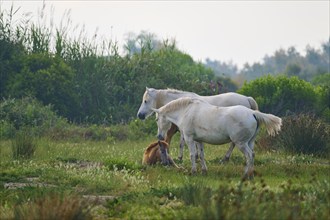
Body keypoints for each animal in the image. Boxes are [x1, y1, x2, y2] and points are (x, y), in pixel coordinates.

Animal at [152, 97, 282, 180]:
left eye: (157, 119)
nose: (159, 136)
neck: (186, 110)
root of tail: (253, 113)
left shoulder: (189, 138)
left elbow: (192, 155)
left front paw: (193, 172)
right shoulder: (199, 140)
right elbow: (201, 155)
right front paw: (204, 171)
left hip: (241, 143)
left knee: (249, 155)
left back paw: (245, 175)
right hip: (249, 142)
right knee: (252, 155)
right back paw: (250, 175)